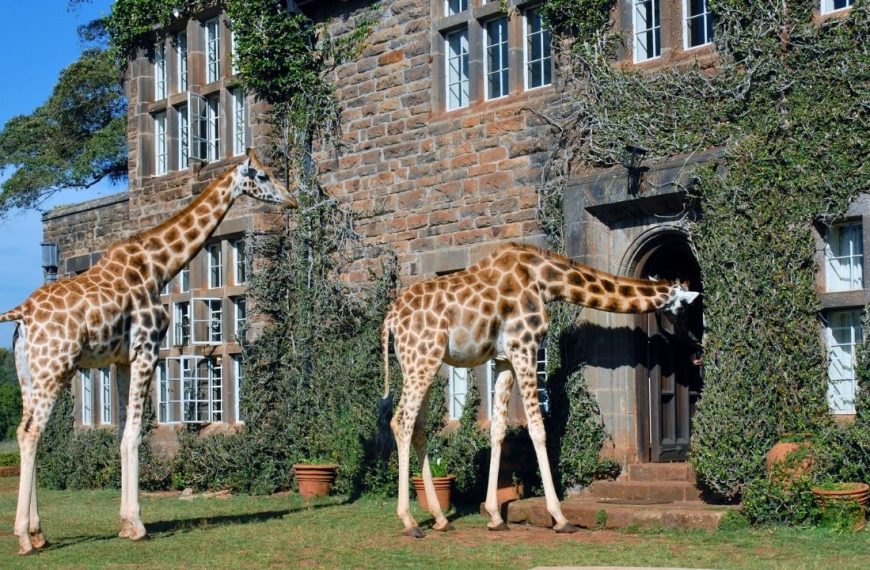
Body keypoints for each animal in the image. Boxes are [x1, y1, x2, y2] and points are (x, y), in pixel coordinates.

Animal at [0, 149, 297, 555]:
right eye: (263, 176)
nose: (292, 200)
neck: (158, 266)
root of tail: (22, 314)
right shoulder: (146, 349)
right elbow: (135, 435)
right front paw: (137, 525)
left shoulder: (122, 360)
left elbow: (124, 431)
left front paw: (125, 524)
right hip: (54, 367)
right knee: (31, 432)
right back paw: (23, 538)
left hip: (28, 373)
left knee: (24, 431)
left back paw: (38, 532)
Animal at [381, 242, 699, 537]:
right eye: (684, 307)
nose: (693, 341)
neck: (546, 281)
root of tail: (390, 319)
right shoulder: (525, 346)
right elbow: (538, 428)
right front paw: (560, 517)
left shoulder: (504, 359)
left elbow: (498, 429)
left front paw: (495, 516)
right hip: (422, 359)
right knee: (401, 421)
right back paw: (410, 522)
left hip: (423, 363)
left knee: (418, 427)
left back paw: (440, 519)